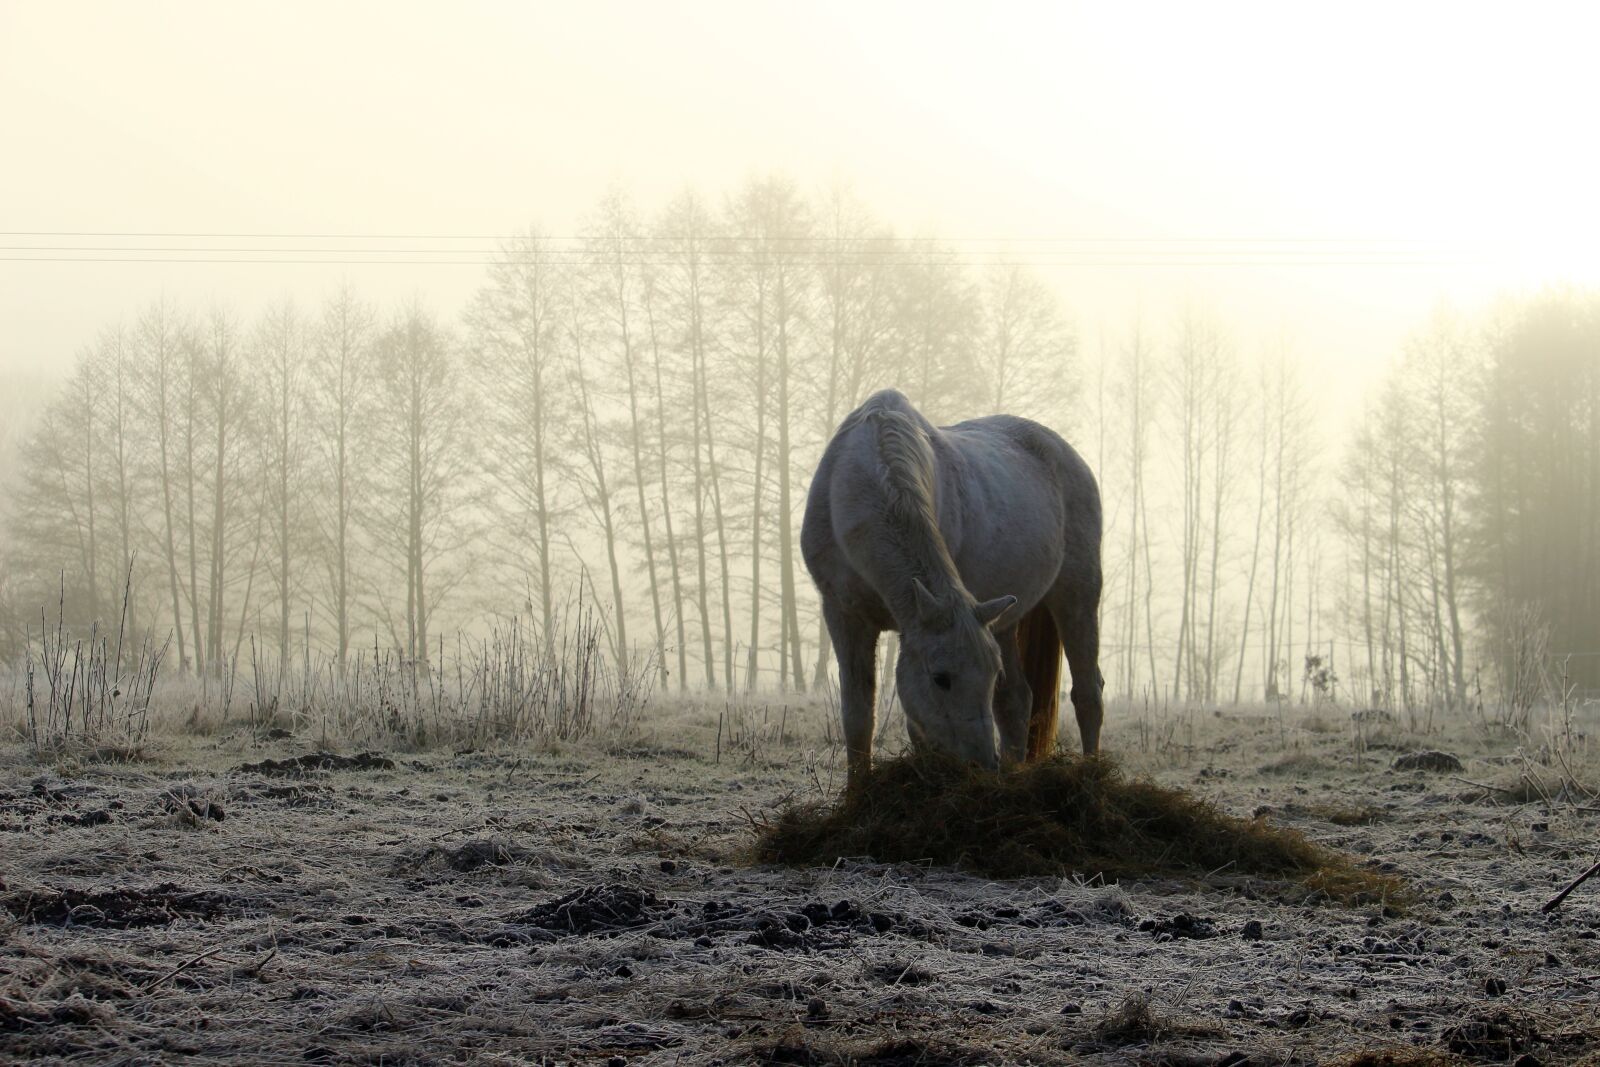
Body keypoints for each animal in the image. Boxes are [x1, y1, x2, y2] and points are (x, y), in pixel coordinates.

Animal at [800, 388, 1104, 790]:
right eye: (941, 679)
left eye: (988, 675)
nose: (982, 763)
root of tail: (1067, 455)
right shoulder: (844, 616)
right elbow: (858, 716)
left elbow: (916, 728)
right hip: (1003, 621)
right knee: (1016, 701)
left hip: (1078, 594)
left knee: (1088, 693)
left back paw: (1092, 774)